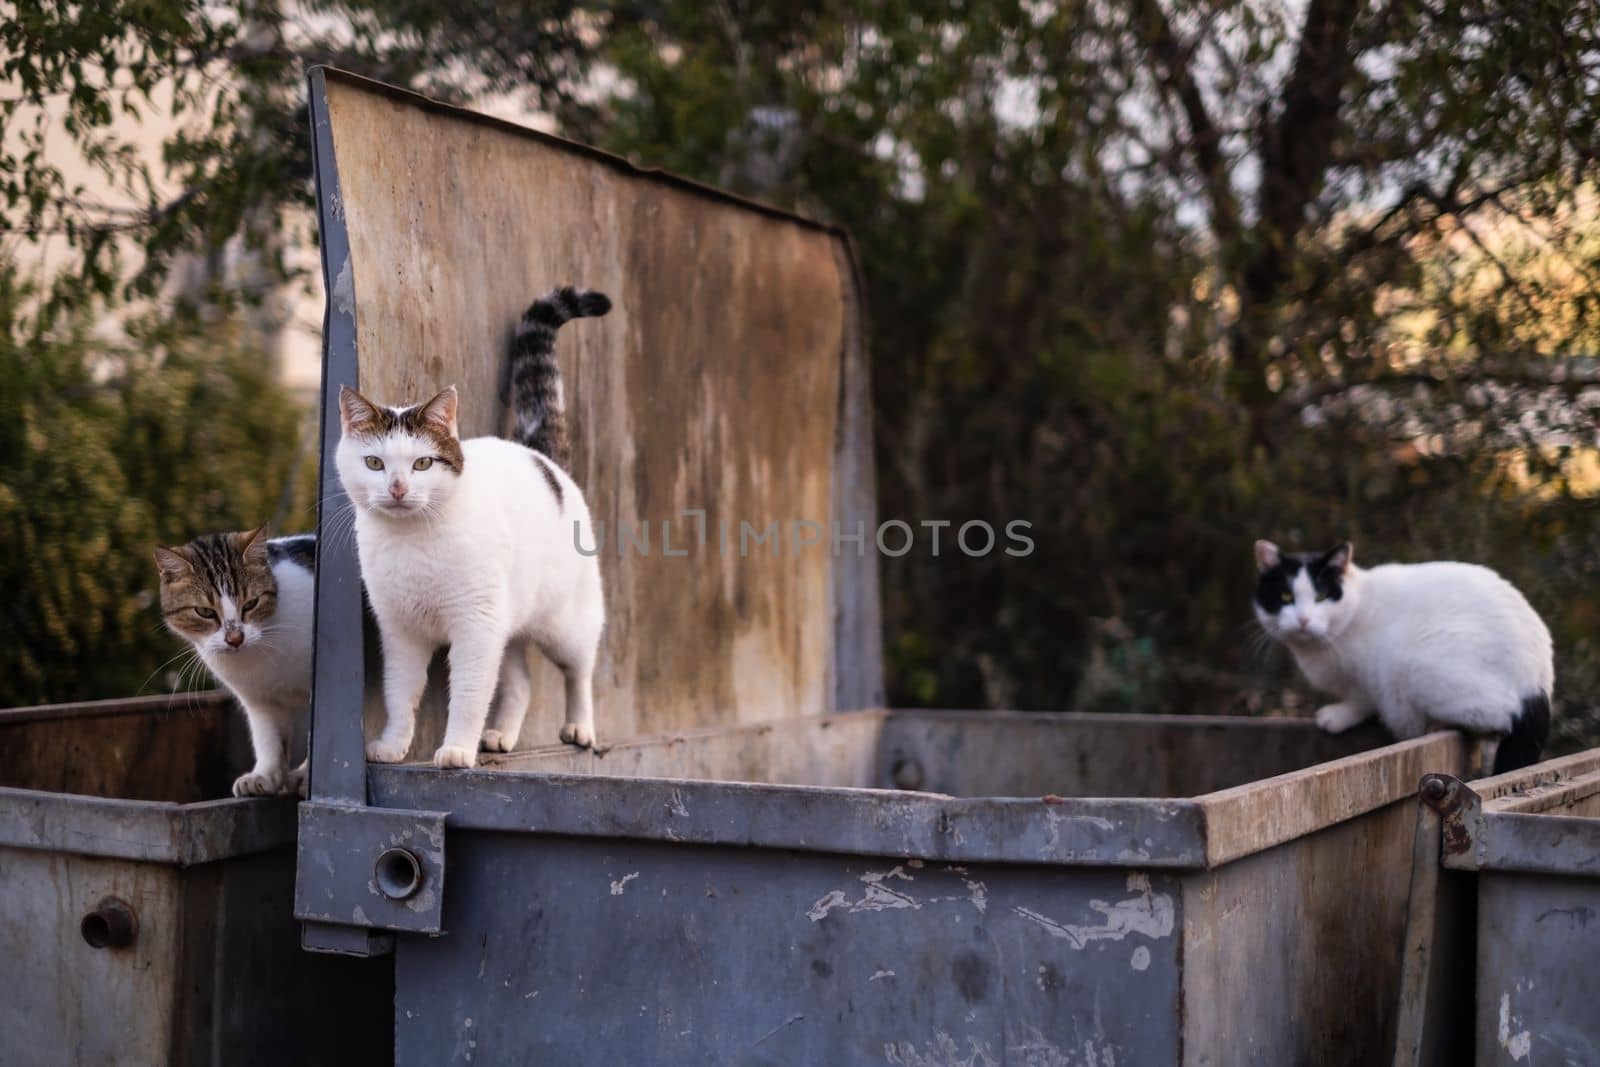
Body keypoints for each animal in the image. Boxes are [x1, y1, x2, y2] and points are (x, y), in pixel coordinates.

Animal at [156, 531, 315, 793]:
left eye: (251, 603)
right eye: (204, 612)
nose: (235, 638)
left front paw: (307, 775)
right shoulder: (258, 699)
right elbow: (268, 737)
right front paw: (265, 776)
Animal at [339, 283, 611, 767]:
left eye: (422, 463)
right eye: (373, 463)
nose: (396, 487)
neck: (411, 541)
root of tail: (541, 456)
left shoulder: (475, 628)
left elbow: (467, 695)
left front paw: (456, 749)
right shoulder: (401, 632)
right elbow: (400, 693)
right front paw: (393, 744)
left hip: (565, 625)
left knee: (579, 672)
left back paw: (580, 728)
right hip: (509, 627)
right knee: (520, 682)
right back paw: (501, 735)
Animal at [1254, 537, 1555, 771]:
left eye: (1322, 596)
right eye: (1285, 597)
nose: (1303, 620)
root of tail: (1537, 685)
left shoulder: (1369, 675)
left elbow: (1360, 700)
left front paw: (1337, 717)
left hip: (1411, 663)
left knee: (1493, 716)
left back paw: (1438, 724)